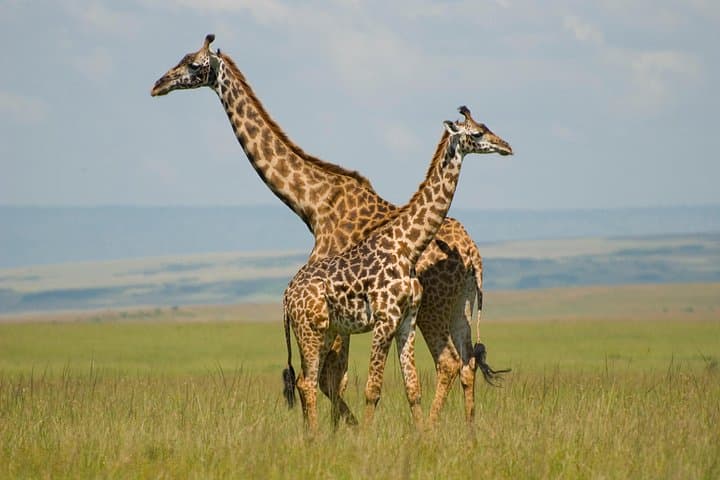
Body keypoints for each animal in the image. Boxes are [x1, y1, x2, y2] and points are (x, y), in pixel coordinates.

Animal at [282, 115, 513, 431]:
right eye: (477, 133)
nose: (506, 146)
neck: (408, 246)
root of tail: (286, 295)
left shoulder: (407, 319)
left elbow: (412, 387)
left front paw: (423, 435)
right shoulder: (385, 319)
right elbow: (372, 389)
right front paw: (366, 437)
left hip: (325, 330)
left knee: (306, 380)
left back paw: (309, 435)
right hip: (309, 331)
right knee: (307, 382)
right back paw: (314, 435)